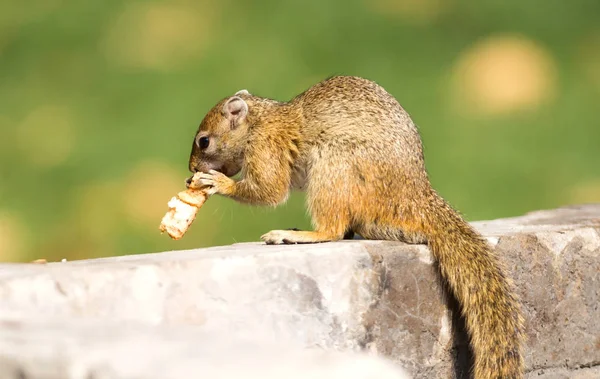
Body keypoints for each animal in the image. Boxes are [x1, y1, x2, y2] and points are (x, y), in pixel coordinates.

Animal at [188, 75, 524, 378]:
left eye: (204, 141)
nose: (191, 170)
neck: (259, 121)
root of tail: (414, 198)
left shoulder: (266, 147)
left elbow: (269, 190)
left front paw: (217, 183)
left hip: (334, 165)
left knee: (334, 230)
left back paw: (297, 235)